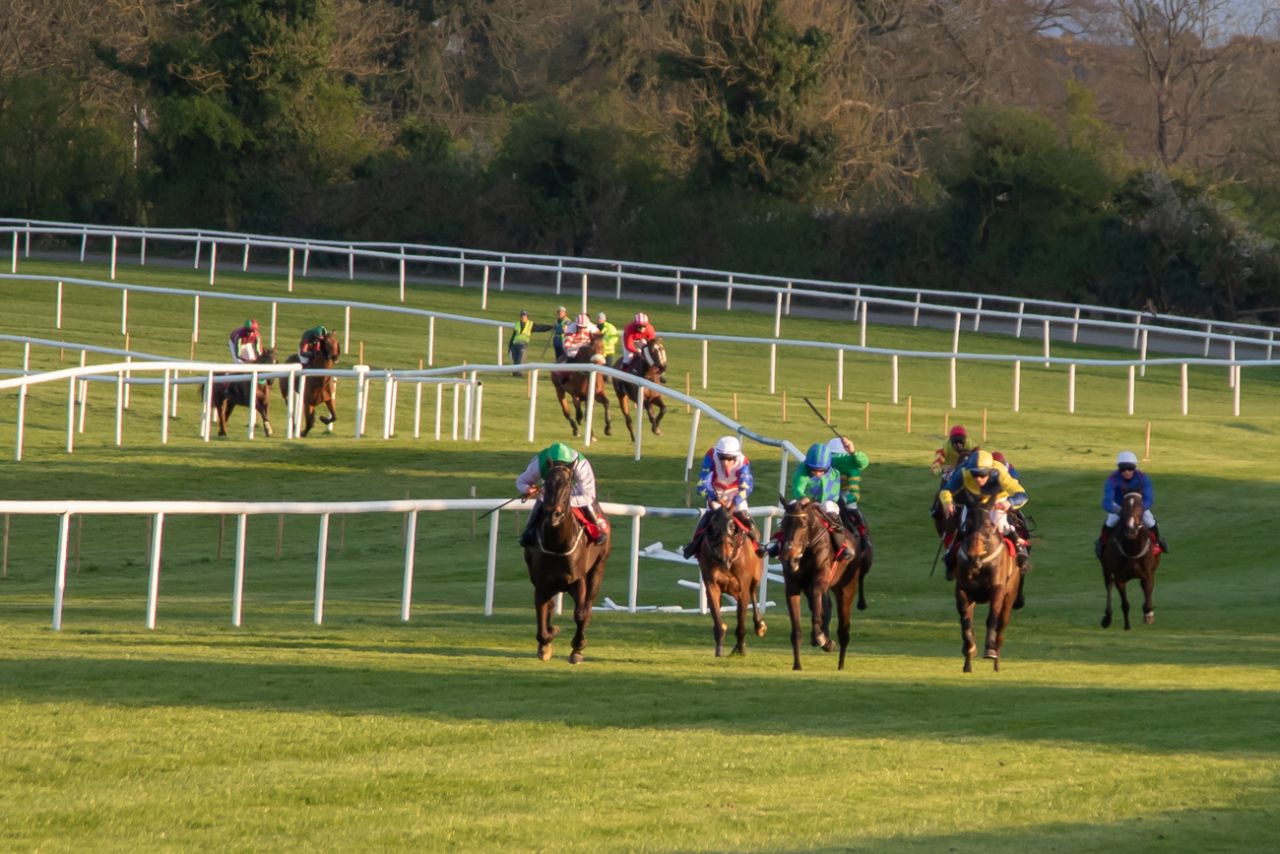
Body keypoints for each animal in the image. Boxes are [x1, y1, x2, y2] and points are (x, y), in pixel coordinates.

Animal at [524, 463, 614, 665]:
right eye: (547, 483)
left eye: (567, 485)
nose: (553, 514)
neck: (557, 545)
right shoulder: (542, 583)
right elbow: (542, 614)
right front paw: (547, 640)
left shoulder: (577, 581)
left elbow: (580, 613)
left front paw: (577, 648)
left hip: (598, 570)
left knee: (588, 607)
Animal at [696, 504, 762, 660]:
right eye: (712, 527)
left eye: (733, 526)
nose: (723, 560)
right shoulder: (712, 585)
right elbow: (717, 618)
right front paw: (720, 648)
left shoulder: (742, 586)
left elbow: (741, 621)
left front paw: (741, 648)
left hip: (756, 576)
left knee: (753, 594)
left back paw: (759, 626)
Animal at [773, 496, 865, 670]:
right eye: (784, 524)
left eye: (802, 525)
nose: (789, 559)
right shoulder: (792, 587)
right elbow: (797, 630)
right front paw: (797, 665)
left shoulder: (819, 582)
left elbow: (817, 613)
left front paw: (822, 639)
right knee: (826, 608)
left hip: (846, 588)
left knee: (844, 630)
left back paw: (840, 665)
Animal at [957, 494, 1024, 676]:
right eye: (967, 524)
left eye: (988, 525)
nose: (974, 555)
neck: (981, 564)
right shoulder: (963, 591)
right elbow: (965, 622)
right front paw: (970, 648)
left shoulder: (997, 590)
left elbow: (992, 618)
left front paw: (989, 650)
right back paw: (968, 663)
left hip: (1010, 597)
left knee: (1001, 628)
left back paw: (996, 662)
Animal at [1100, 491, 1162, 632]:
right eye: (1123, 509)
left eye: (1140, 508)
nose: (1131, 529)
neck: (1132, 550)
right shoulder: (1119, 578)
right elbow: (1125, 603)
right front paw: (1127, 625)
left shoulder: (1148, 574)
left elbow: (1147, 602)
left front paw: (1148, 615)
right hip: (1106, 570)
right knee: (1108, 586)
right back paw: (1107, 618)